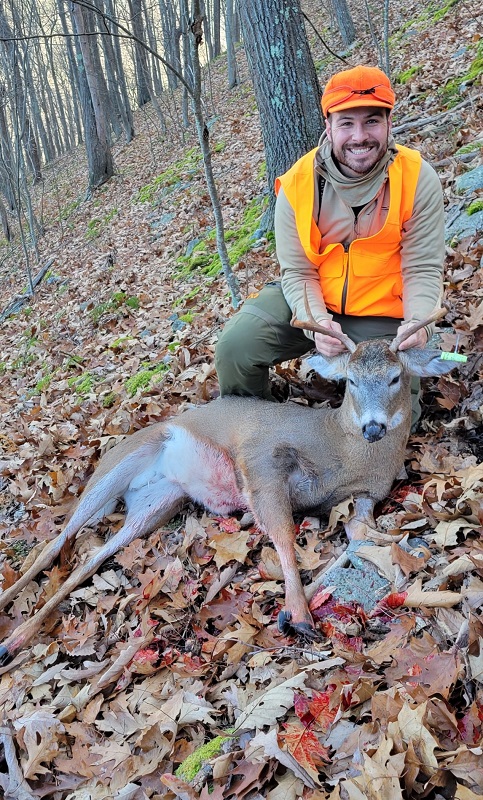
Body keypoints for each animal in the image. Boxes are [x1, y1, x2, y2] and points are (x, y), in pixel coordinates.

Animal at [0, 304, 458, 664]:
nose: (373, 427)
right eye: (352, 381)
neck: (342, 452)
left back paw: (16, 638)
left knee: (89, 559)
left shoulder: (366, 496)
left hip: (157, 504)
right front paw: (297, 613)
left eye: (396, 377)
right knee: (55, 544)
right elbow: (283, 530)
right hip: (118, 464)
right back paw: (11, 631)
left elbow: (360, 536)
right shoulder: (260, 455)